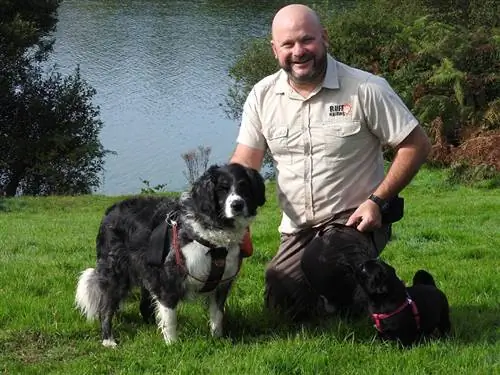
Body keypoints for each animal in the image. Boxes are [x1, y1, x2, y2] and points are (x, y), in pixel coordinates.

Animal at [74, 163, 266, 348]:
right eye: (222, 188)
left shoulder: (221, 284)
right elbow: (170, 317)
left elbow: (217, 315)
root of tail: (110, 211)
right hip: (116, 273)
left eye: (244, 186)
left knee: (144, 306)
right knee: (105, 309)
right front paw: (172, 344)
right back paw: (108, 340)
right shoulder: (167, 280)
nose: (237, 205)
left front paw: (217, 339)